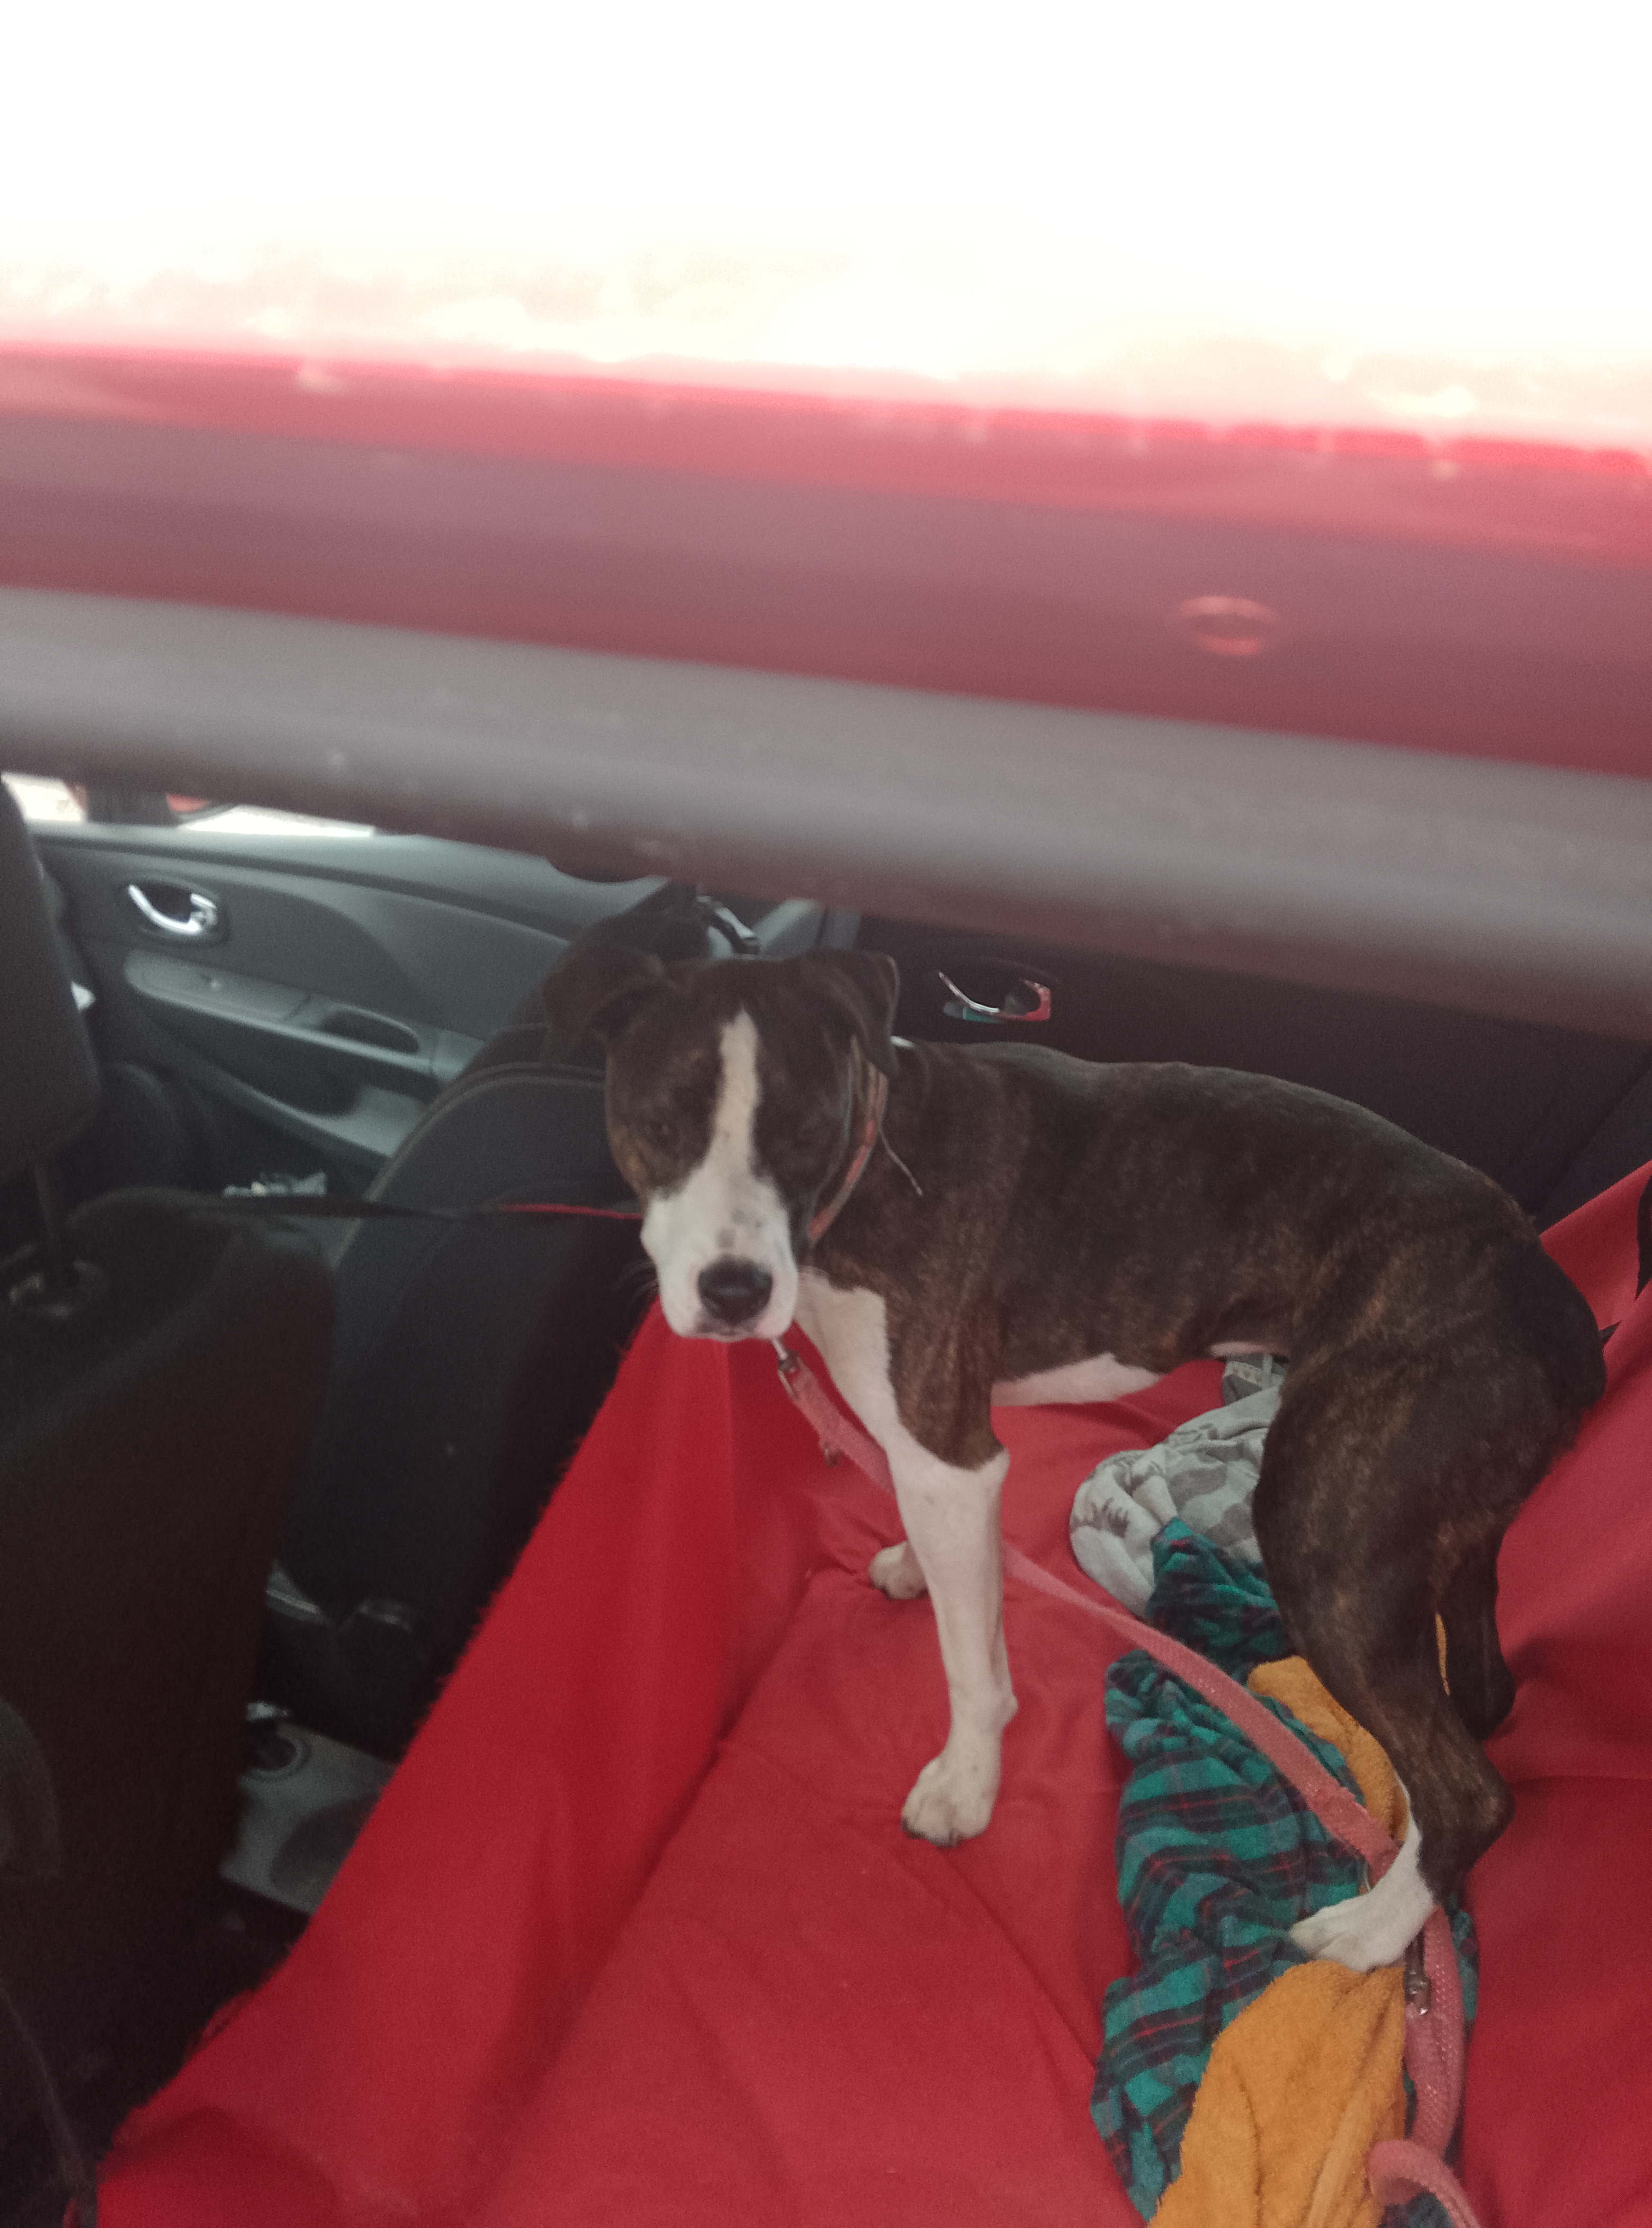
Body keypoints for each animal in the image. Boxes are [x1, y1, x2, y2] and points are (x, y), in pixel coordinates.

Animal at [542, 942, 1604, 1972]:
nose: (734, 1290)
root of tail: (1551, 1298)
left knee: (1472, 1792)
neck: (874, 1161)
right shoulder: (933, 1456)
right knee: (1483, 1697)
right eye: (661, 1124)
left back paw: (1367, 1935)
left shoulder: (953, 1455)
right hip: (1443, 1532)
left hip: (1326, 1536)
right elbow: (944, 1556)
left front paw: (965, 1789)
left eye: (804, 1132)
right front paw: (915, 1566)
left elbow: (972, 1664)